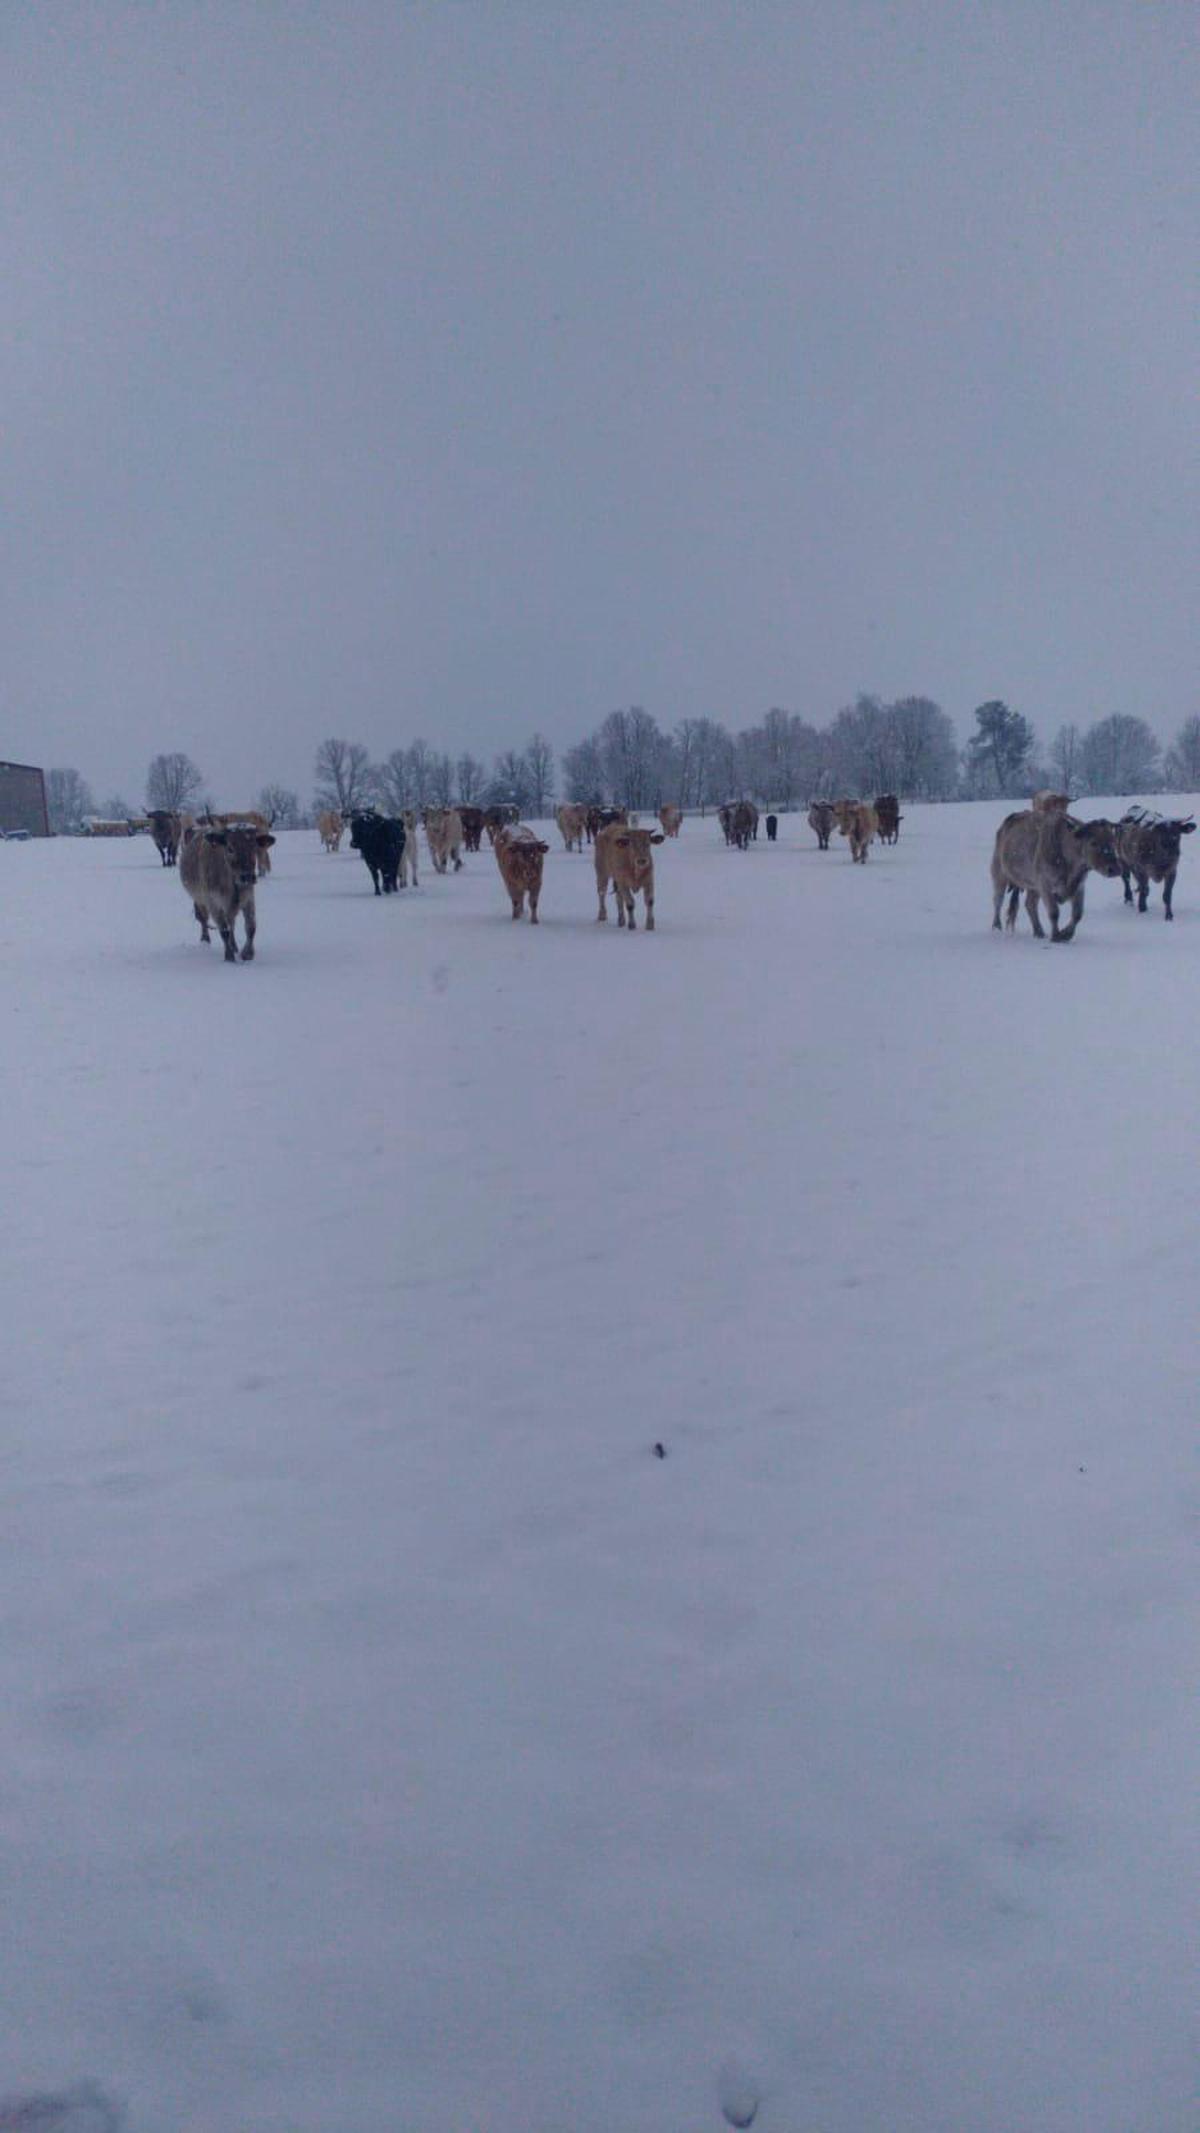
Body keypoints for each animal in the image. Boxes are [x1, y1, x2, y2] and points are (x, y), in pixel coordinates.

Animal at [177, 814, 274, 959]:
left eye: (254, 847)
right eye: (230, 848)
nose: (247, 877)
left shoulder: (249, 898)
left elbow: (251, 927)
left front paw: (247, 954)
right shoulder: (213, 902)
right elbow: (224, 929)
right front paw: (229, 956)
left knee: (231, 922)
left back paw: (234, 946)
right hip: (199, 899)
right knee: (203, 918)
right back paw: (205, 940)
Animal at [988, 806, 1125, 942]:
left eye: (1113, 841)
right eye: (1093, 842)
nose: (1114, 869)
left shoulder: (1079, 886)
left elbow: (1078, 914)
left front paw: (1066, 934)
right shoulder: (1045, 884)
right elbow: (1054, 912)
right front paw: (1056, 936)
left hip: (1033, 885)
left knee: (1030, 904)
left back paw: (1039, 932)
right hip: (999, 874)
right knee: (998, 900)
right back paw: (996, 928)